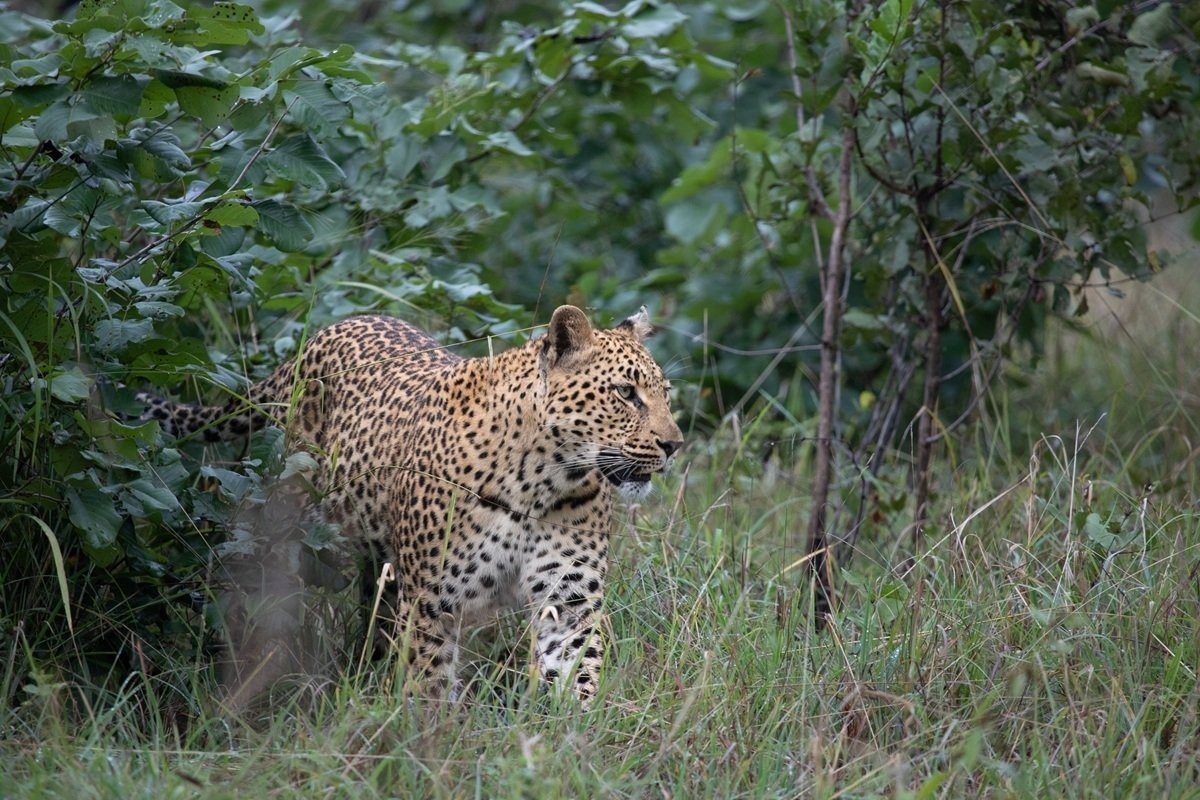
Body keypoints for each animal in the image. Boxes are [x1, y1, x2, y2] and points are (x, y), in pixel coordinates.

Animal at [140, 305, 683, 706]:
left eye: (665, 394)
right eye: (626, 393)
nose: (674, 444)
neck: (542, 479)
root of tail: (326, 332)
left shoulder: (569, 599)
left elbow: (577, 672)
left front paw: (571, 743)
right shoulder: (429, 600)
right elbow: (429, 683)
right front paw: (431, 746)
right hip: (288, 517)